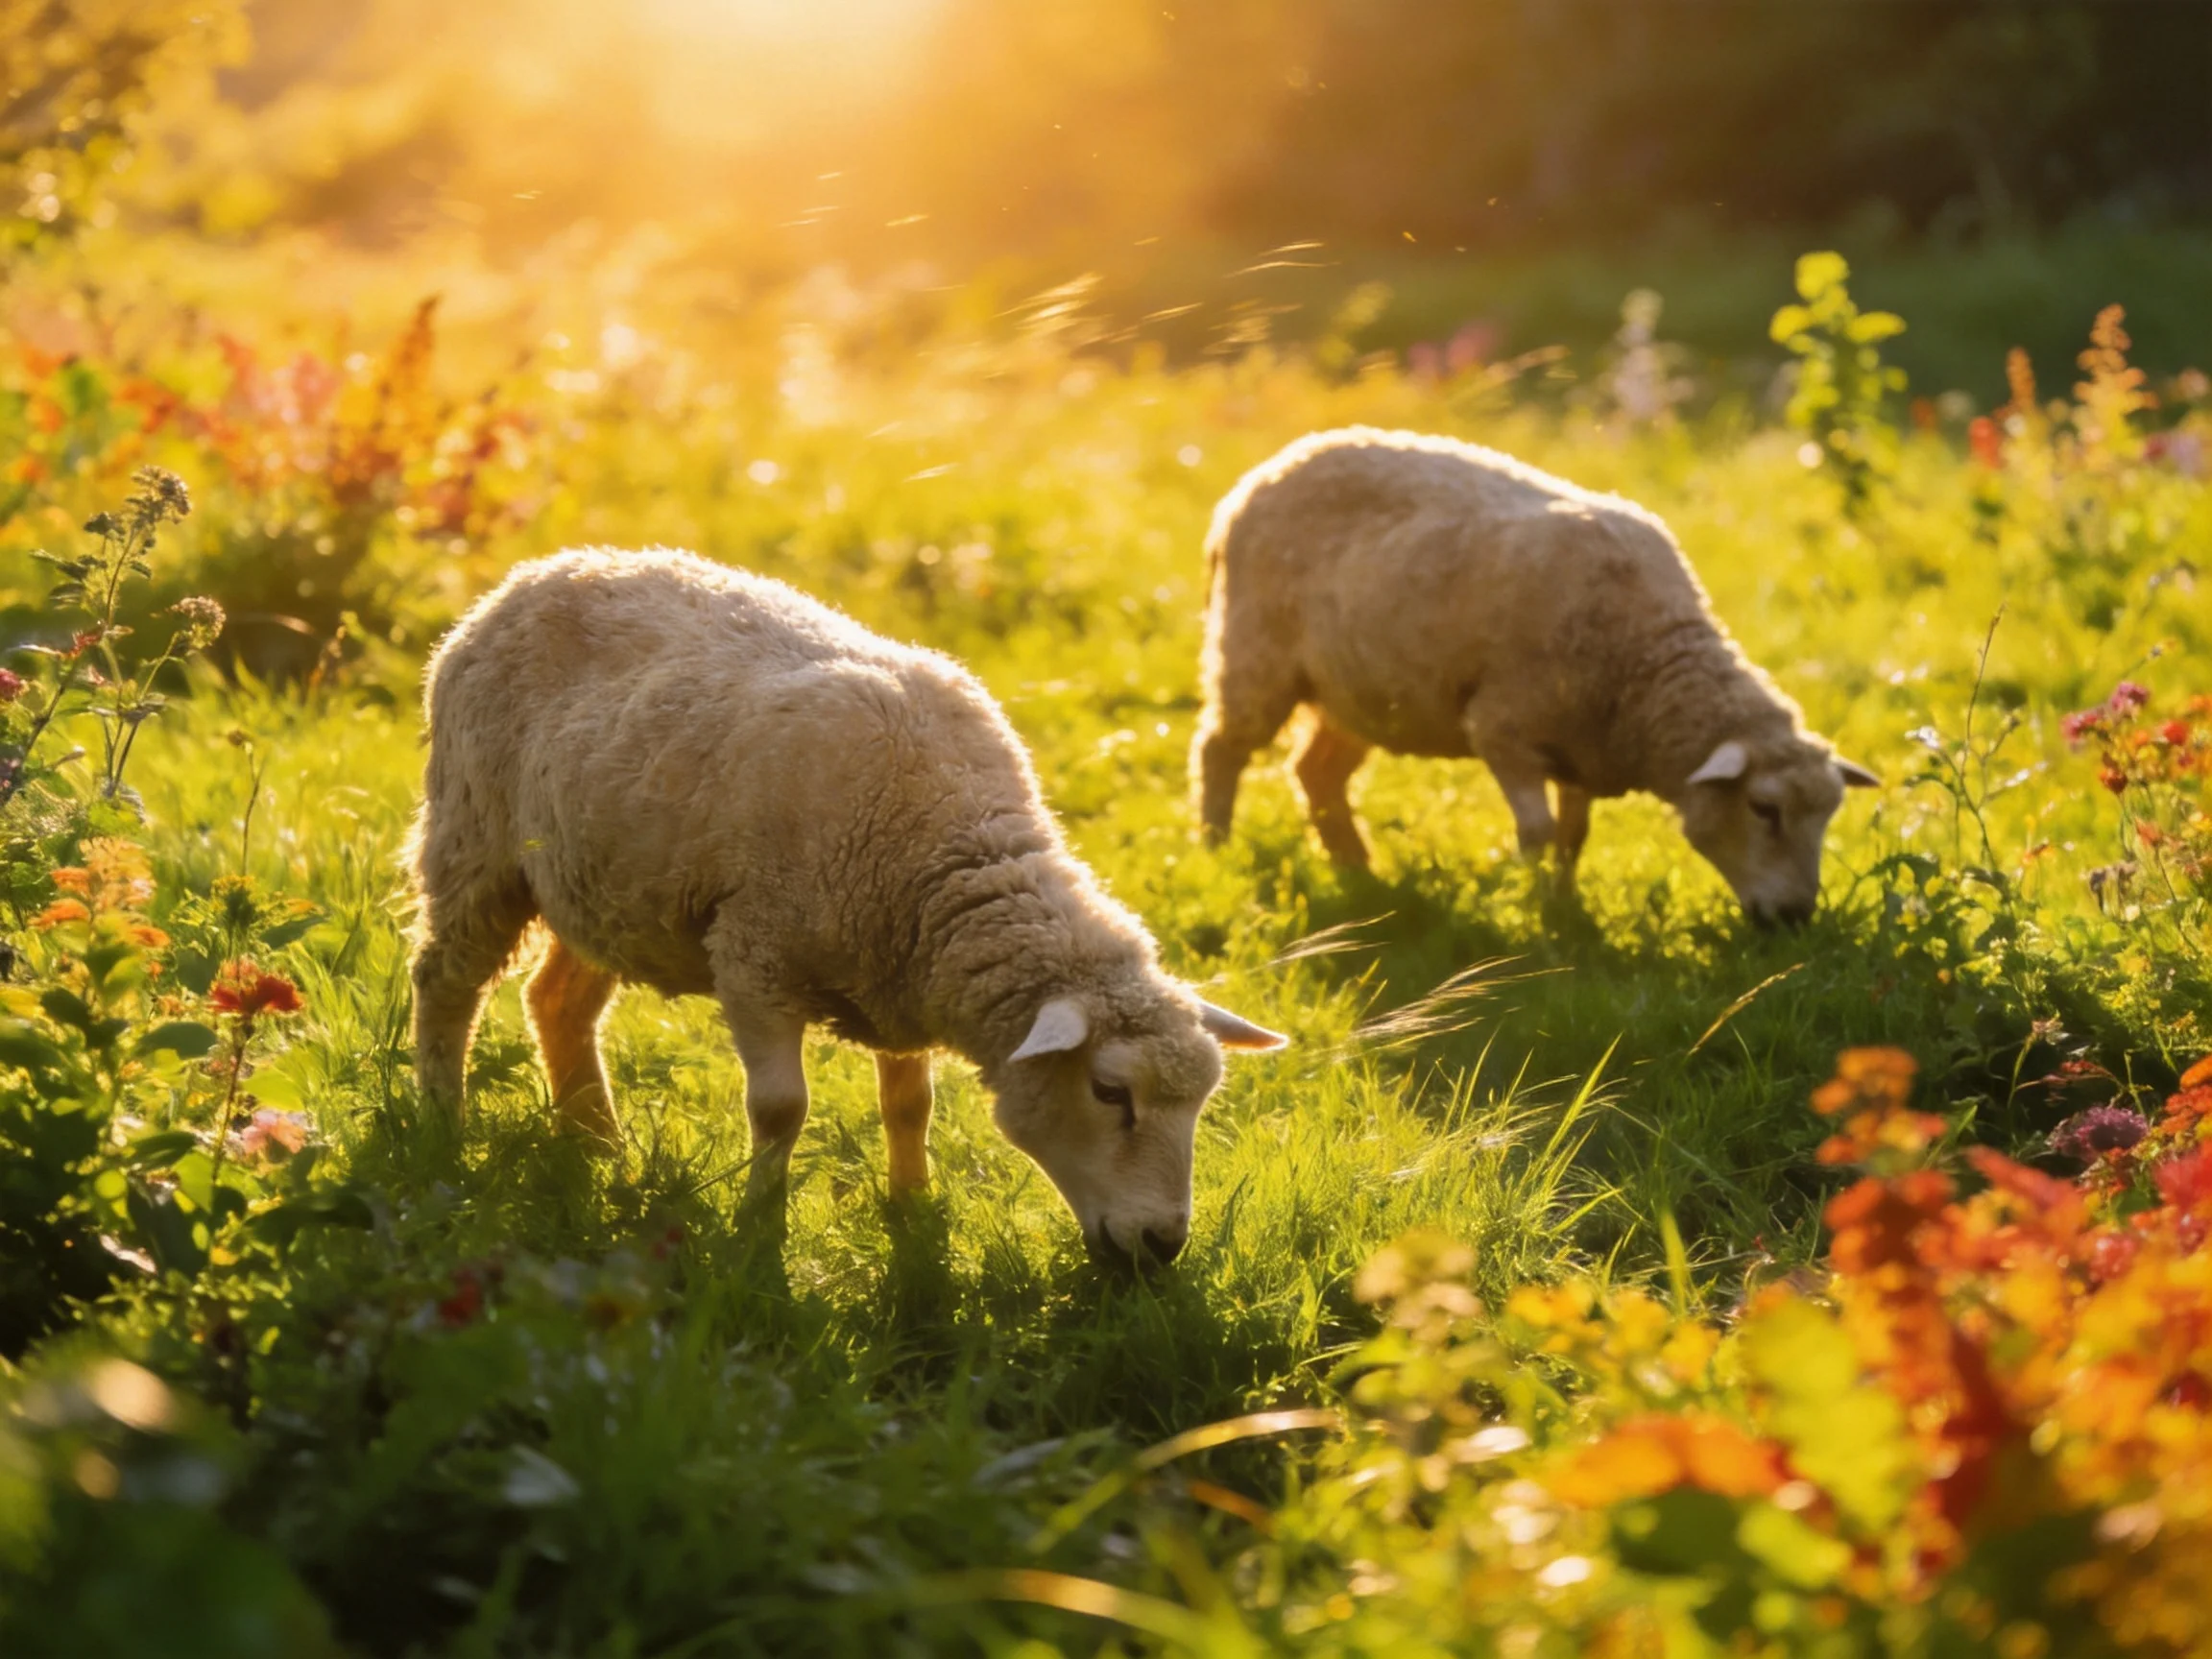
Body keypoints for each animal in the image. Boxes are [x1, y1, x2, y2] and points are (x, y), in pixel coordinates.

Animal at [408, 547, 1285, 1266]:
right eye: (1110, 1093)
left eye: (1201, 1102)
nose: (1163, 1246)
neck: (943, 849)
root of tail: (538, 571)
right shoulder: (755, 953)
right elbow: (780, 1108)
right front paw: (760, 1229)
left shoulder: (899, 973)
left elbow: (910, 1105)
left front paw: (913, 1205)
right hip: (475, 839)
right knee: (444, 982)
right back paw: (442, 1126)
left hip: (609, 888)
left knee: (557, 1001)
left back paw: (597, 1147)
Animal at [1192, 428, 1876, 924]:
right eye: (1764, 809)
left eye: (1828, 815)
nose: (1796, 918)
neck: (1645, 662)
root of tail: (1258, 478)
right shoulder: (1503, 731)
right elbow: (1539, 832)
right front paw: (1534, 911)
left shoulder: (1582, 747)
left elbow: (1574, 834)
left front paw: (1566, 903)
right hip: (1252, 653)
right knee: (1220, 748)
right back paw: (1215, 845)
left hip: (1357, 690)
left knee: (1317, 772)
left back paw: (1358, 868)